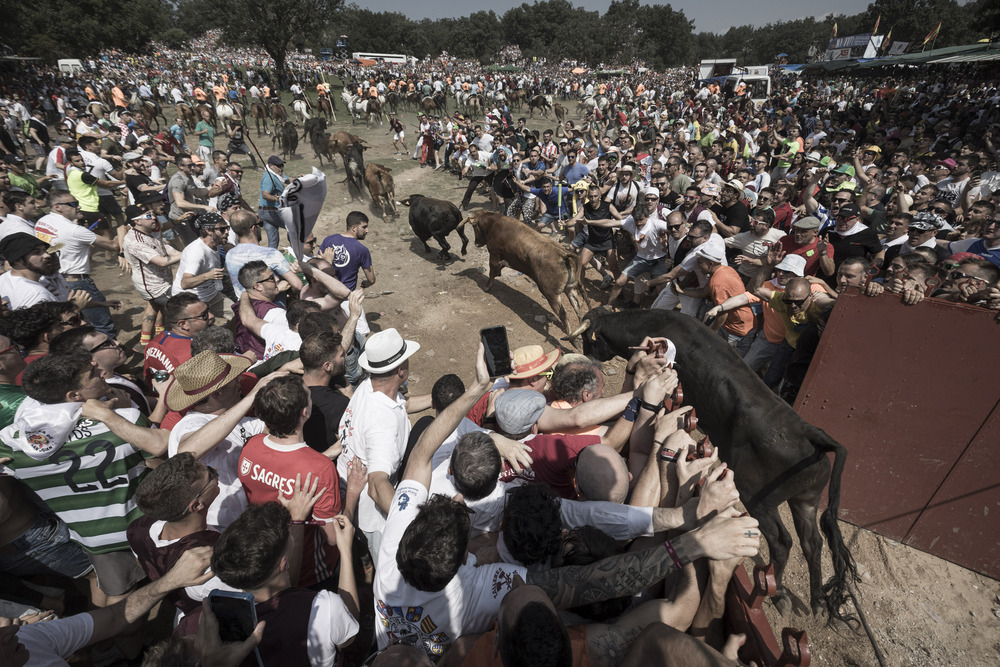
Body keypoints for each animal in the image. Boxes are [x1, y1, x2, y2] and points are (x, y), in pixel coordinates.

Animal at [576, 310, 856, 620]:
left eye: (589, 338)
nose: (588, 356)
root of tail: (811, 432)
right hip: (805, 500)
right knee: (813, 543)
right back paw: (817, 599)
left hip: (759, 499)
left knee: (782, 542)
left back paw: (780, 593)